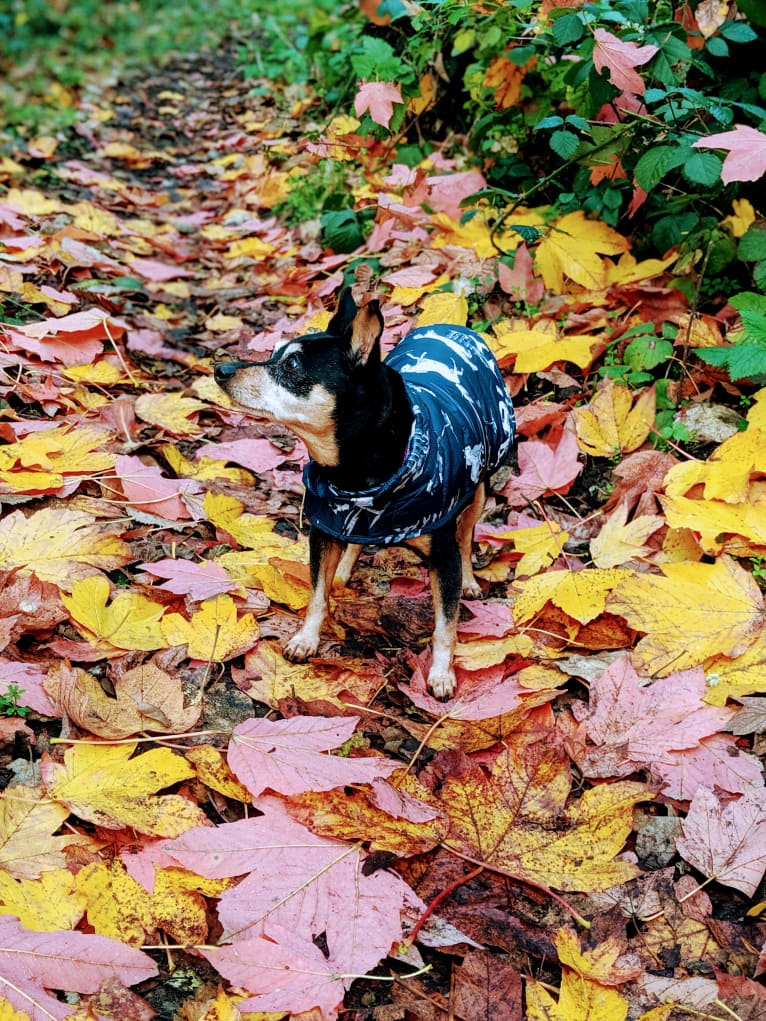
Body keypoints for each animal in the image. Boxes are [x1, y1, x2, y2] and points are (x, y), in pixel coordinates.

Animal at [216, 292, 516, 698]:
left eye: (291, 365)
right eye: (276, 353)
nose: (221, 369)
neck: (354, 475)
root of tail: (456, 327)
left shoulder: (443, 555)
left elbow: (445, 624)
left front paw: (441, 673)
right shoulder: (325, 529)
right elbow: (317, 595)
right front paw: (306, 639)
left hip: (479, 486)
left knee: (467, 534)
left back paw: (470, 579)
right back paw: (343, 570)